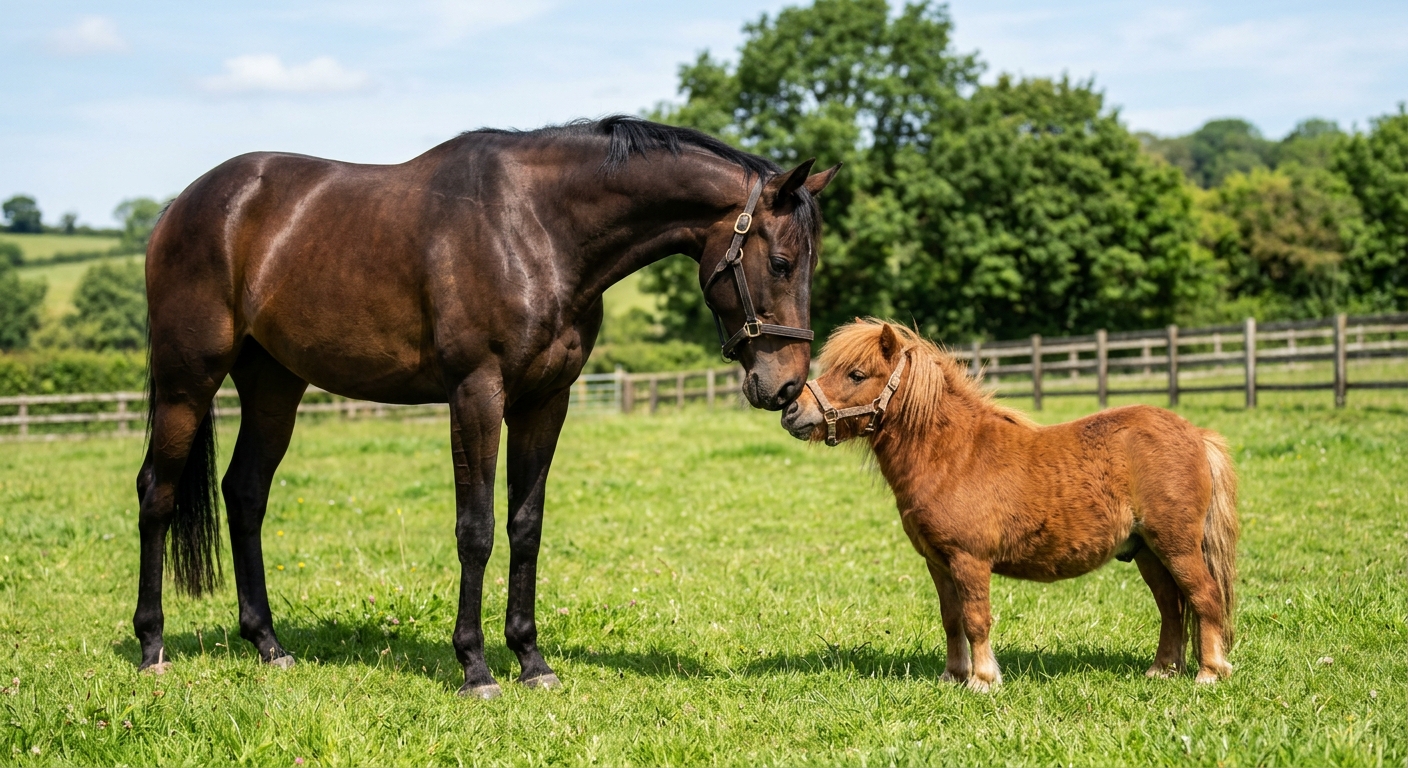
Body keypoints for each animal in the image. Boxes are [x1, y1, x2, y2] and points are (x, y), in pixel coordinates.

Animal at [136, 116, 839, 698]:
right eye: (781, 262)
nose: (785, 387)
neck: (537, 230)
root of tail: (183, 206)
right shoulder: (476, 394)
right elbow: (474, 529)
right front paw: (474, 667)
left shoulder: (545, 401)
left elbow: (525, 527)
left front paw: (531, 661)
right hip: (186, 380)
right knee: (157, 492)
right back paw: (152, 648)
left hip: (274, 385)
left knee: (245, 492)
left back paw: (268, 644)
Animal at [781, 320, 1238, 690]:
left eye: (856, 374)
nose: (791, 411)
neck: (952, 455)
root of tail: (1196, 434)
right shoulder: (938, 562)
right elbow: (951, 620)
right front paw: (953, 676)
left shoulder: (969, 560)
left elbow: (976, 619)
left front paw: (983, 680)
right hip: (1147, 552)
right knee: (1171, 608)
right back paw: (1163, 670)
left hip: (1176, 546)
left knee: (1205, 597)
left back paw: (1209, 673)